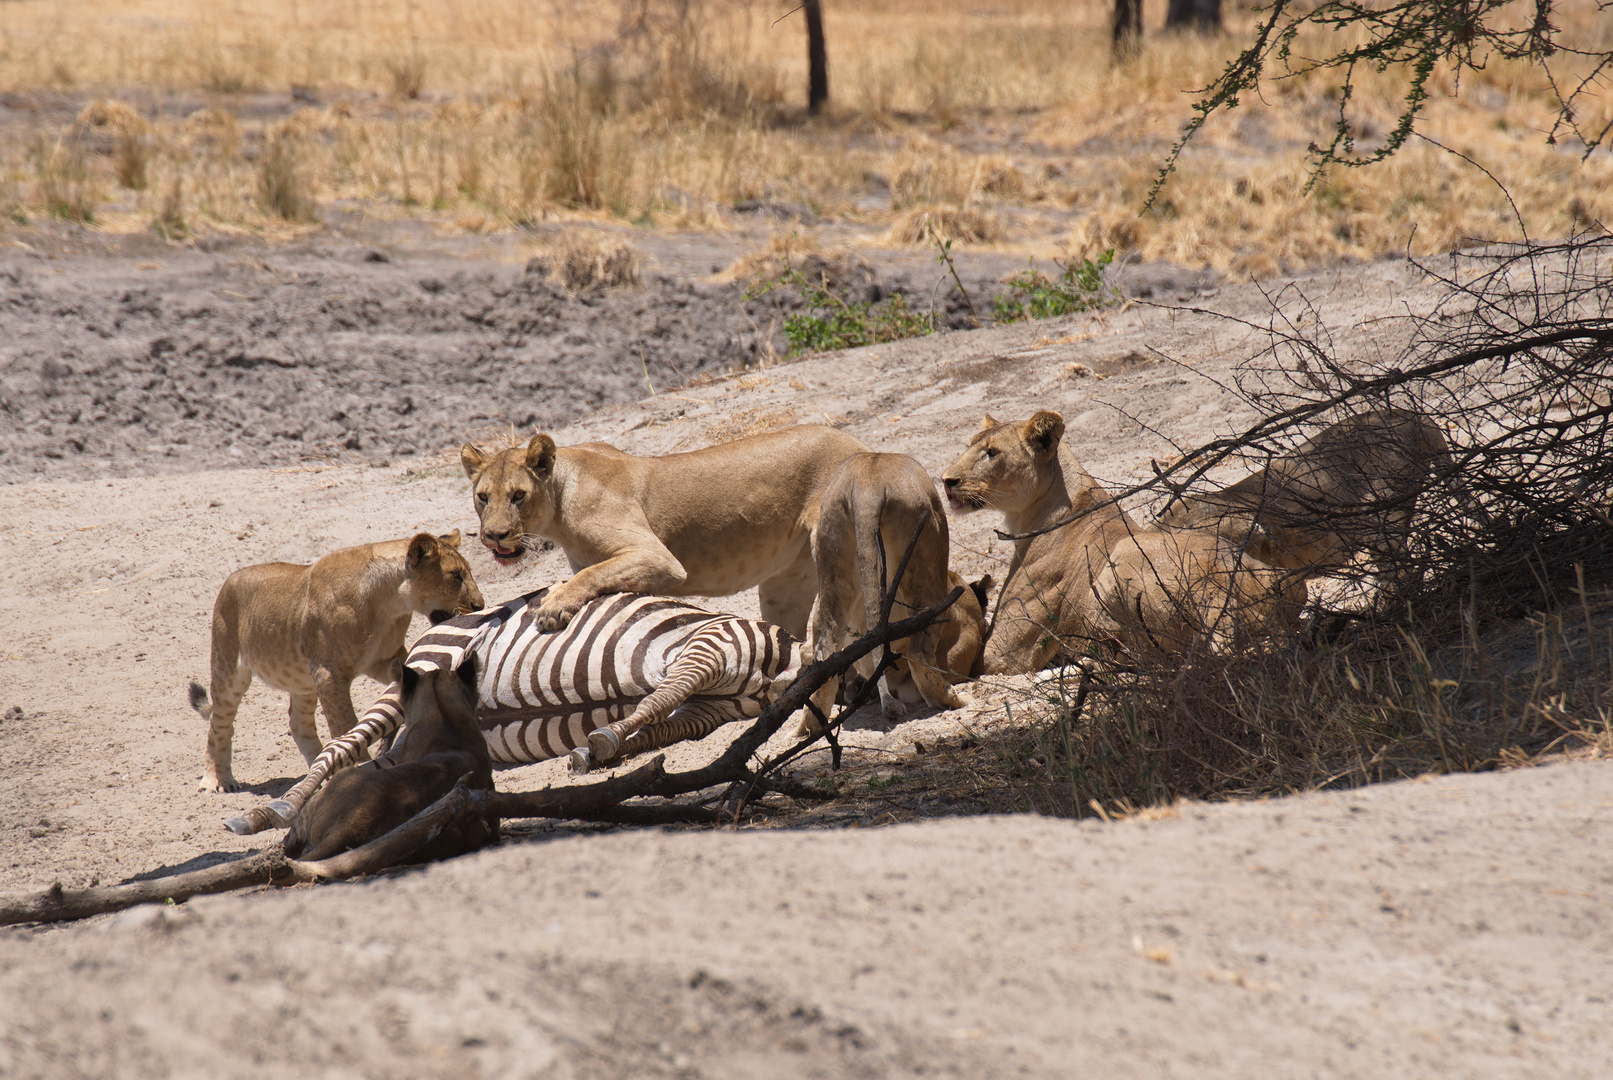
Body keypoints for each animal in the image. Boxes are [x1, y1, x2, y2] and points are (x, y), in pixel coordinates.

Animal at [186, 531, 480, 796]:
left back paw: (320, 773)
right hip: (228, 665)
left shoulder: (384, 660)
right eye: (456, 575)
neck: (389, 603)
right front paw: (359, 767)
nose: (480, 604)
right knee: (219, 723)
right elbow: (347, 726)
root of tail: (231, 578)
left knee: (298, 723)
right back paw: (217, 780)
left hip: (303, 682)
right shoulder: (329, 674)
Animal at [461, 425, 871, 644]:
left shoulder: (657, 557)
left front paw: (553, 606)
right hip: (785, 585)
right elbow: (597, 574)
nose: (494, 535)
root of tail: (859, 444)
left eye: (518, 495)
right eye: (483, 497)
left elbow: (591, 573)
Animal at [803, 451, 980, 731]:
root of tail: (866, 485)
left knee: (825, 638)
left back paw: (810, 725)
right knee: (918, 649)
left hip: (832, 550)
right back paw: (953, 699)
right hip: (925, 551)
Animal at [941, 411, 1296, 673]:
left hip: (1117, 567)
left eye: (991, 453)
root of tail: (1220, 591)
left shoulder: (1002, 654)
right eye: (969, 446)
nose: (946, 481)